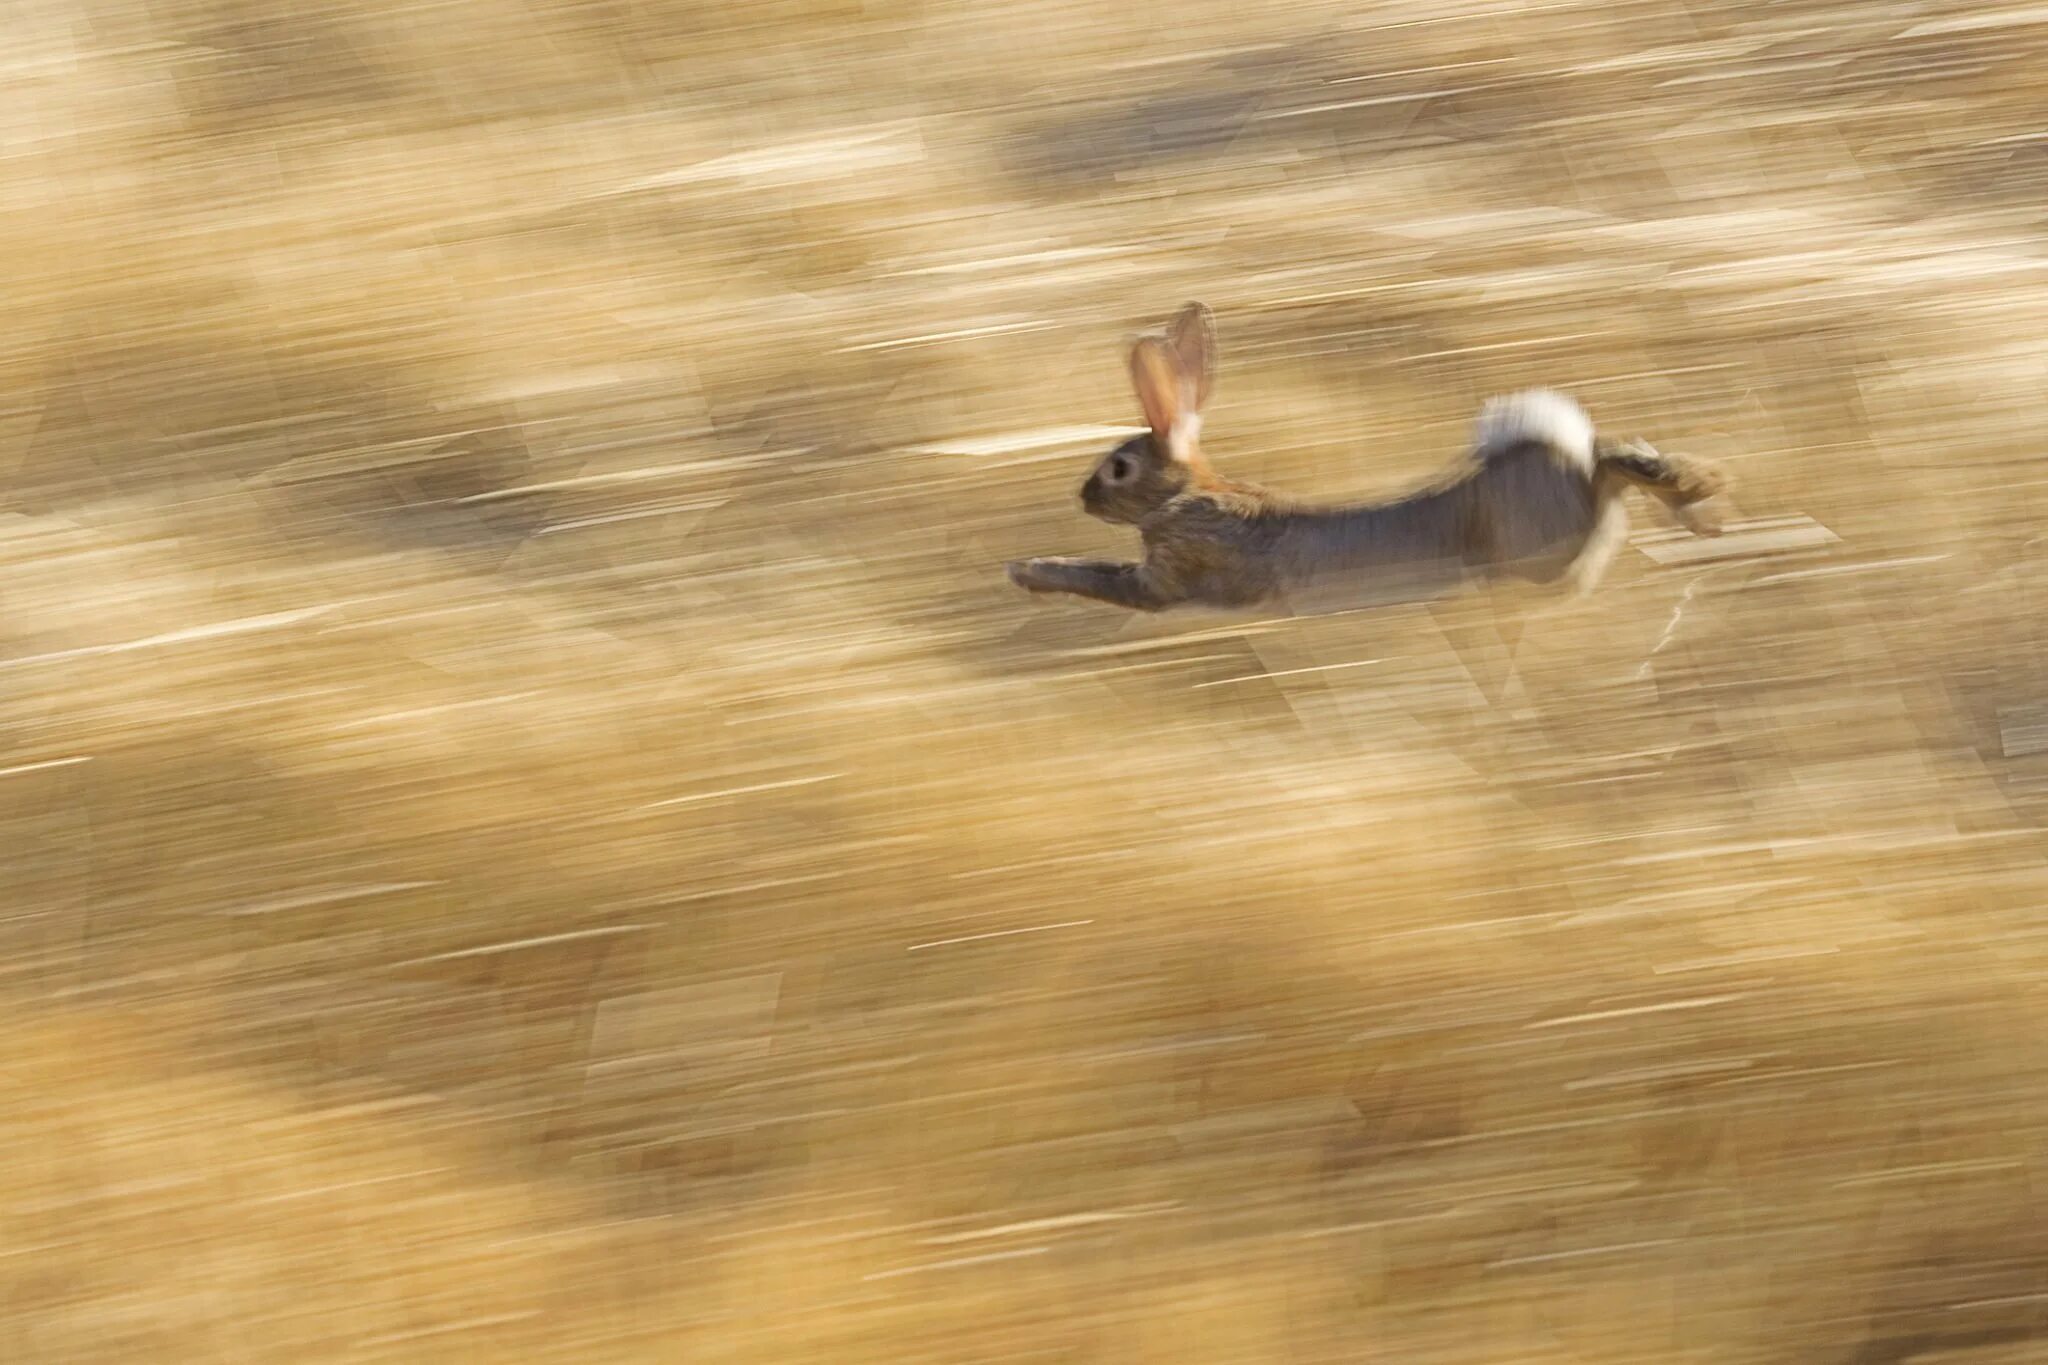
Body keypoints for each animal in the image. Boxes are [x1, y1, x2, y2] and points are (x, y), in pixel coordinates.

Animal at [1007, 304, 1728, 618]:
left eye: (1118, 468)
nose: (1081, 497)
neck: (1186, 494)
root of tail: (1560, 453)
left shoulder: (1167, 577)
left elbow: (1099, 575)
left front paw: (1027, 570)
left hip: (1536, 549)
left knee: (1607, 474)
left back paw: (1691, 496)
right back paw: (1694, 498)